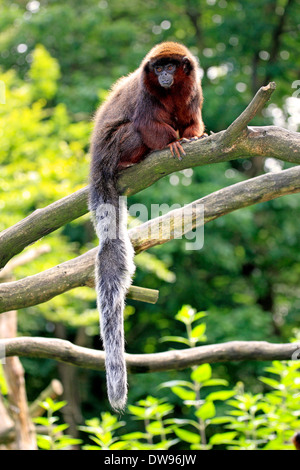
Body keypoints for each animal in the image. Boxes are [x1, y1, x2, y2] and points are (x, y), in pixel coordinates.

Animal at [89, 41, 206, 412]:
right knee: (134, 130)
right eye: (158, 69)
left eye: (171, 66)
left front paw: (195, 135)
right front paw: (171, 142)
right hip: (112, 148)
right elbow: (147, 123)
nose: (165, 75)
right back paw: (131, 160)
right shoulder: (144, 92)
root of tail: (97, 164)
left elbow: (192, 120)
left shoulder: (195, 91)